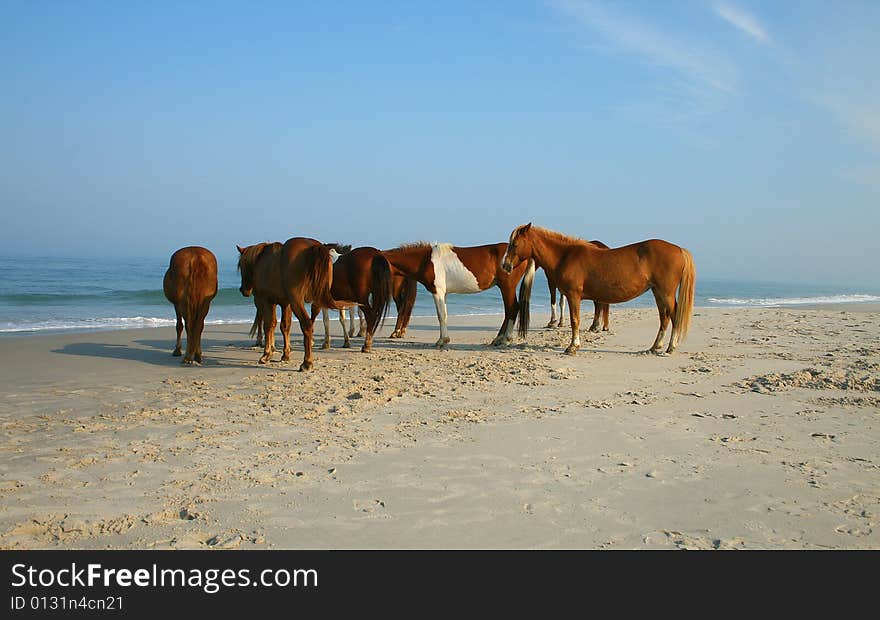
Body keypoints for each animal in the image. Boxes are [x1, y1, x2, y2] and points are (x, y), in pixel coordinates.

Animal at [384, 242, 532, 346]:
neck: (426, 260)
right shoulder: (442, 294)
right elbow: (444, 315)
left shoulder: (438, 291)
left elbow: (441, 315)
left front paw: (442, 340)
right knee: (508, 311)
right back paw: (498, 339)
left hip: (508, 287)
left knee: (512, 309)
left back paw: (506, 339)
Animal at [502, 225, 696, 356]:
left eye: (515, 244)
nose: (505, 266)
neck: (564, 255)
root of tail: (679, 249)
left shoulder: (573, 296)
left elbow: (575, 321)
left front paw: (572, 347)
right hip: (657, 292)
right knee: (664, 318)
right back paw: (655, 347)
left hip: (666, 293)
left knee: (674, 315)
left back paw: (671, 347)